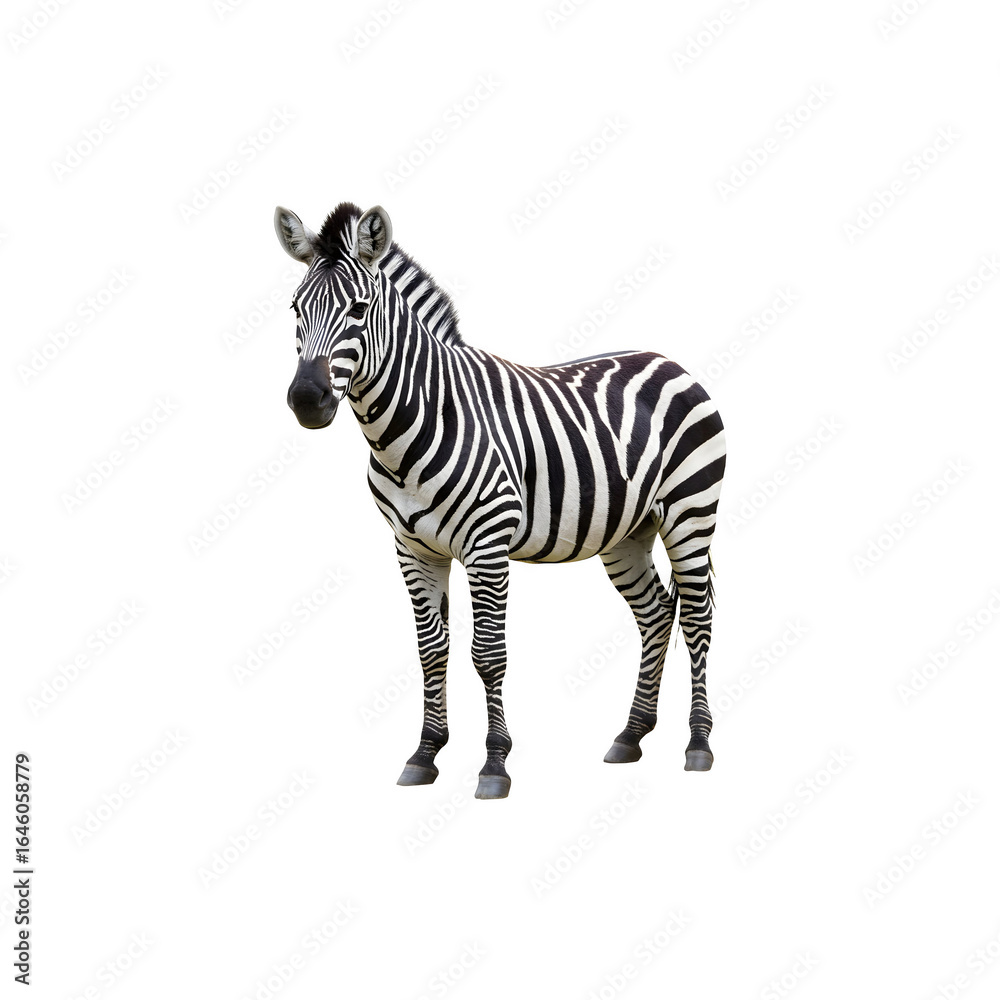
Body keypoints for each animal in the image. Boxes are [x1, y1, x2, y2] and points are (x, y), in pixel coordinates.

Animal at [273, 201, 726, 799]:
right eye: (294, 309)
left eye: (360, 308)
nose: (307, 399)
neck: (415, 422)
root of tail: (669, 360)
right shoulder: (413, 549)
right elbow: (431, 651)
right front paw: (425, 754)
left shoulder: (487, 543)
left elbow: (488, 654)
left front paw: (494, 764)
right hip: (627, 533)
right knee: (656, 614)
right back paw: (631, 735)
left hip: (690, 515)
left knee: (697, 618)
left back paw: (698, 744)